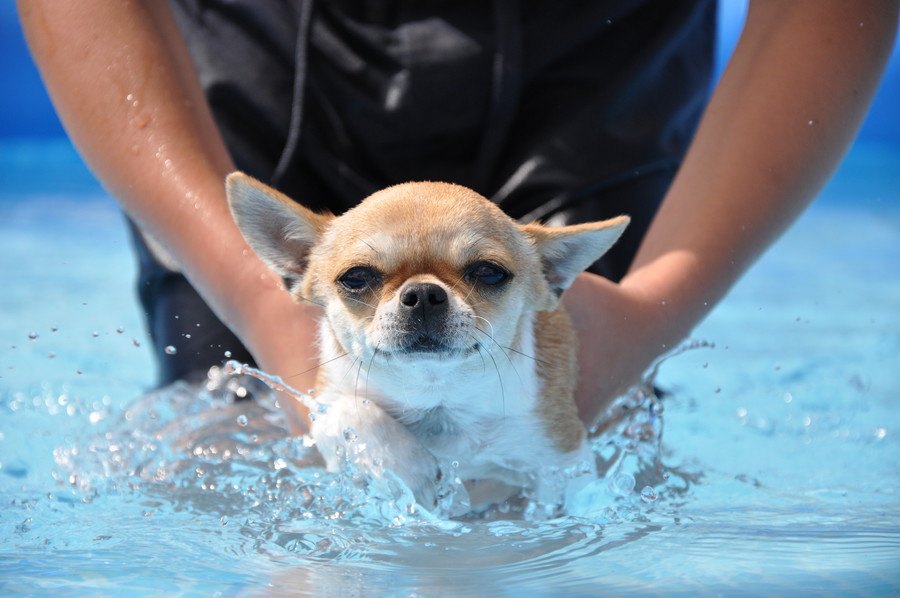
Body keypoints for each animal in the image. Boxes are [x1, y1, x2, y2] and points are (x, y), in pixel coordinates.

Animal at [227, 173, 624, 516]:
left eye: (489, 272)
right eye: (356, 277)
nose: (422, 293)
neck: (436, 400)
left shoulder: (563, 459)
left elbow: (569, 503)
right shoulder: (323, 404)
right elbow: (351, 410)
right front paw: (408, 470)